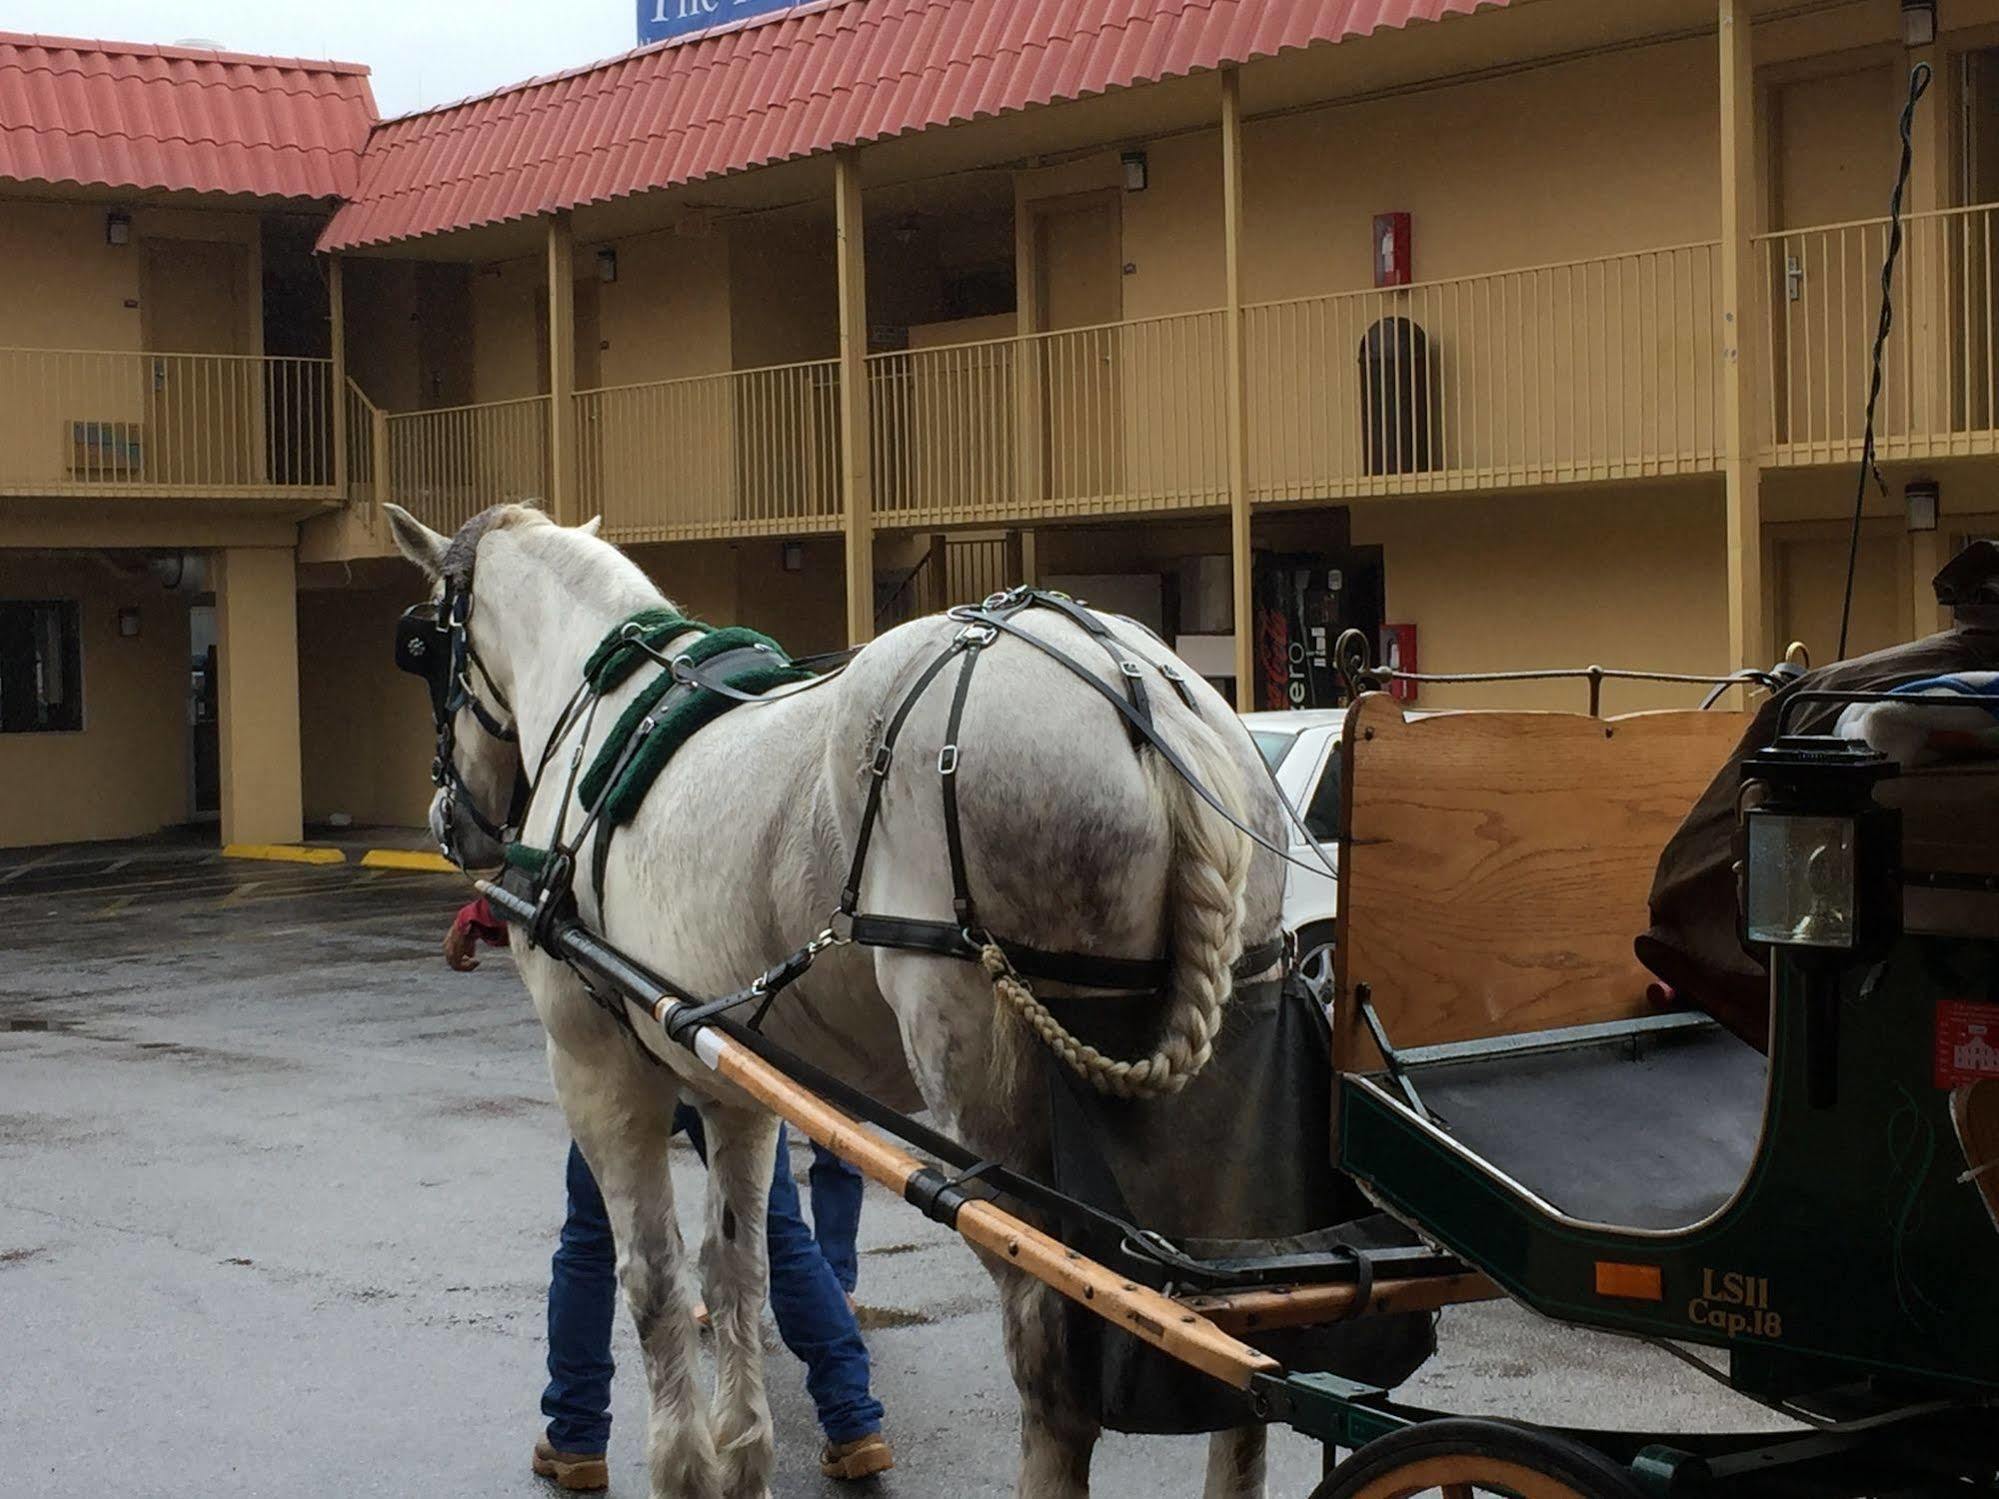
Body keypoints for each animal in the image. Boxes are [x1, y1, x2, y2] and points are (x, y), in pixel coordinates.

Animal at [381, 507, 1287, 1499]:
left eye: (423, 646)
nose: (449, 818)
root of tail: (1139, 689)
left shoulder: (598, 1069)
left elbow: (651, 1276)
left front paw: (681, 1464)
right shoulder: (732, 1085)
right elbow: (736, 1265)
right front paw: (741, 1454)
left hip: (990, 1092)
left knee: (1052, 1358)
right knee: (1242, 1342)